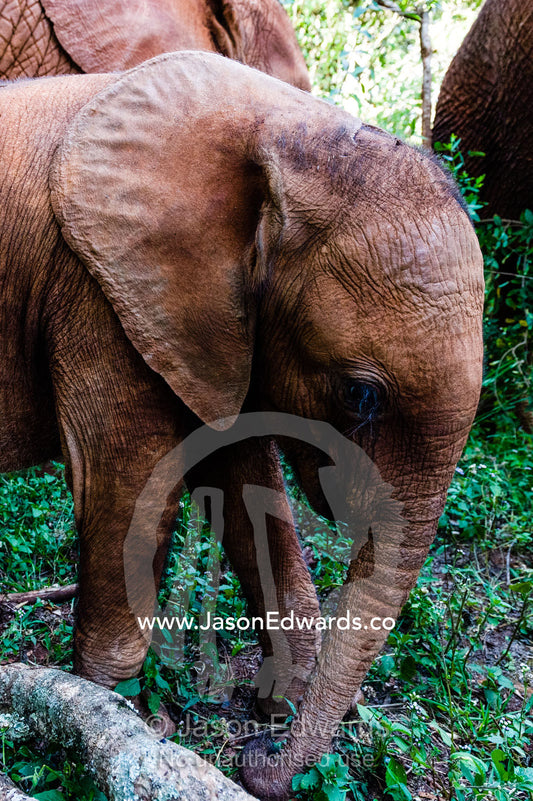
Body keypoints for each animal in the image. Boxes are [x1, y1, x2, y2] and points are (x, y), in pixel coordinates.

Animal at [0, 51, 483, 799]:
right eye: (360, 394)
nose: (255, 758)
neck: (284, 129)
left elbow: (241, 479)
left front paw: (269, 707)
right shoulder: (98, 290)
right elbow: (128, 486)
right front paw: (120, 716)